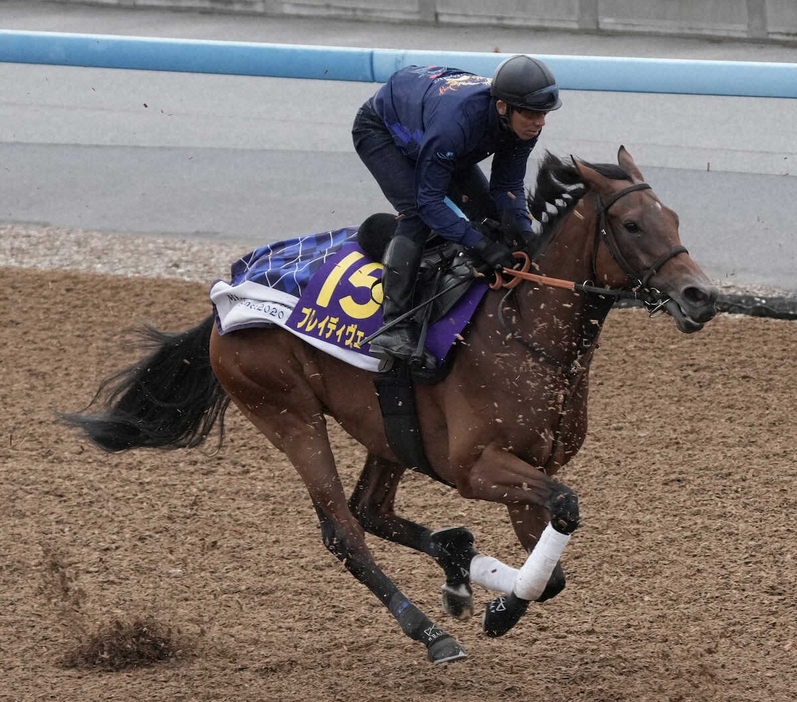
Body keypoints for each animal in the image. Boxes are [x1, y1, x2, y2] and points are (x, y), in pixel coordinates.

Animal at [65, 147, 720, 664]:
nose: (701, 295)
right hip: (288, 413)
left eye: (674, 218)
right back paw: (428, 630)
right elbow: (563, 513)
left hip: (386, 427)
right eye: (632, 225)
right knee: (345, 529)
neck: (524, 328)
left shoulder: (531, 466)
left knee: (372, 509)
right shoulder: (476, 466)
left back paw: (456, 564)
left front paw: (489, 595)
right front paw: (497, 608)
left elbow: (553, 566)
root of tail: (224, 296)